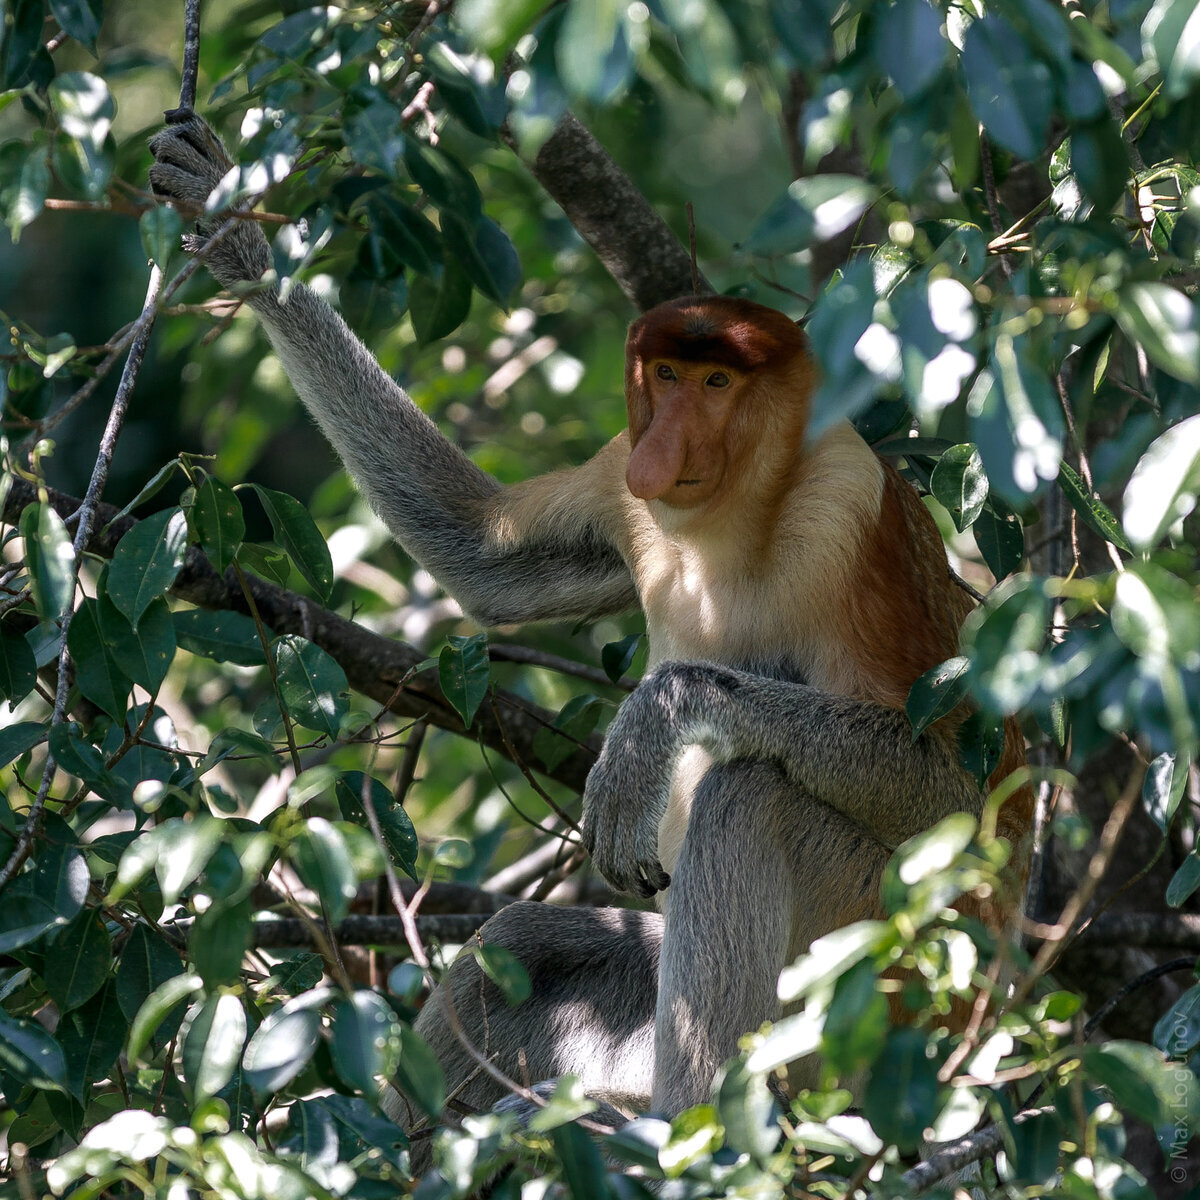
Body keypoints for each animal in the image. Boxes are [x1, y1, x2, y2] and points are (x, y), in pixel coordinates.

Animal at [152, 119, 1032, 1132]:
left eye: (718, 381)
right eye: (666, 376)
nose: (664, 448)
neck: (737, 518)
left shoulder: (848, 512)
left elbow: (957, 785)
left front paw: (651, 729)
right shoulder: (623, 481)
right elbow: (484, 556)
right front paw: (233, 231)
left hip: (889, 974)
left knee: (748, 798)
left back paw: (688, 1129)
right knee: (530, 941)